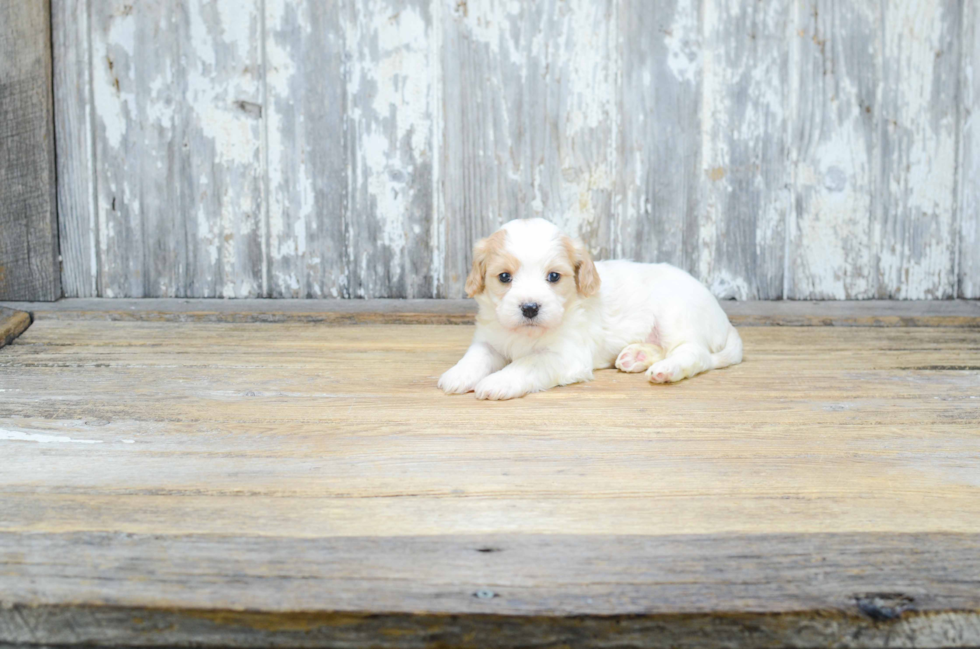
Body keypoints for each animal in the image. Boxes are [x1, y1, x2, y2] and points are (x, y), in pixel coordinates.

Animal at [436, 219, 744, 400]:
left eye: (553, 277)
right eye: (504, 277)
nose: (530, 308)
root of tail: (724, 319)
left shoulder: (565, 356)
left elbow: (527, 363)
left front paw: (499, 381)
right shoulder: (490, 340)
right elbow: (476, 357)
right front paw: (458, 374)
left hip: (676, 316)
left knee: (694, 353)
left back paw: (666, 369)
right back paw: (637, 355)